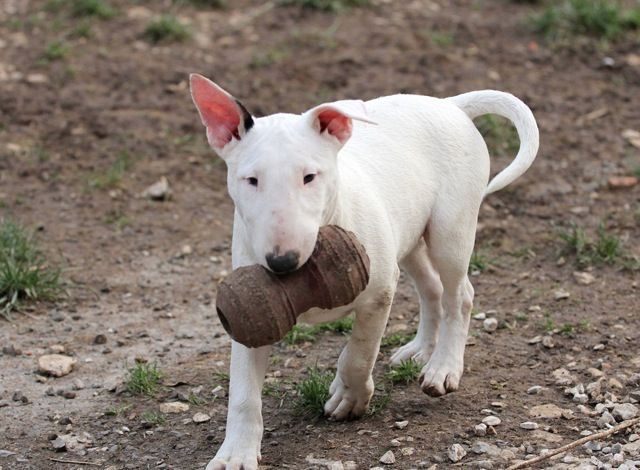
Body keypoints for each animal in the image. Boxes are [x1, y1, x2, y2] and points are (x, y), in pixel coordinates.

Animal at [189, 73, 536, 470]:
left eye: (310, 177)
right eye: (251, 180)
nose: (282, 262)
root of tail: (449, 104)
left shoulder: (378, 292)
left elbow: (359, 353)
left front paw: (349, 396)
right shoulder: (252, 317)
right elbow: (244, 392)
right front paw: (236, 453)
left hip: (450, 231)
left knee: (459, 295)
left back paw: (443, 368)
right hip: (407, 236)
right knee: (431, 289)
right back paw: (420, 349)